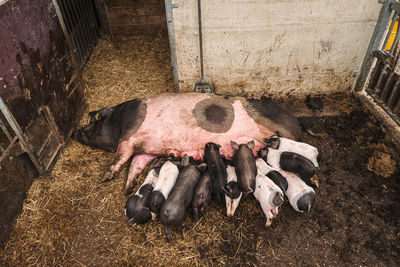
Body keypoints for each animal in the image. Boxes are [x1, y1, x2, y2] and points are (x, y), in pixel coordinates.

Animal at [74, 93, 300, 195]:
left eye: (94, 121)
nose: (76, 131)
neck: (118, 121)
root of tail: (295, 119)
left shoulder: (128, 136)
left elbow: (121, 156)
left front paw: (105, 177)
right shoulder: (145, 150)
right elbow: (135, 165)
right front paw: (127, 189)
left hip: (283, 134)